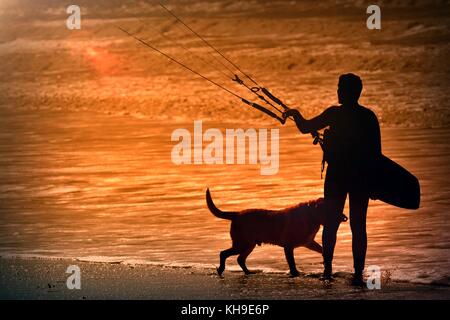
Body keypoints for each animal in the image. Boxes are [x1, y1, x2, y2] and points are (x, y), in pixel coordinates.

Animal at [207, 189, 348, 276]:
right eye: (332, 209)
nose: (344, 217)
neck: (311, 216)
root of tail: (236, 214)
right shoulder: (289, 247)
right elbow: (292, 264)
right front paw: (295, 274)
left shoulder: (309, 242)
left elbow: (323, 250)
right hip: (242, 244)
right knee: (223, 253)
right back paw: (221, 269)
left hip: (249, 245)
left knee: (240, 259)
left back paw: (248, 272)